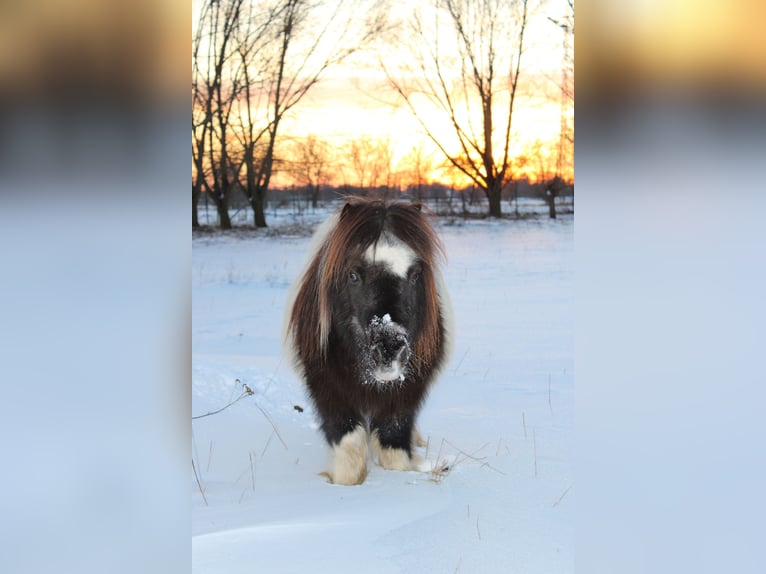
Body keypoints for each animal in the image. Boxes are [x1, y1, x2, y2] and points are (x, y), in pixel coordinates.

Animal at [285, 198, 452, 484]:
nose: (390, 349)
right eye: (353, 274)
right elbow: (349, 445)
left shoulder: (407, 393)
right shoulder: (326, 386)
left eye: (415, 274)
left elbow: (393, 444)